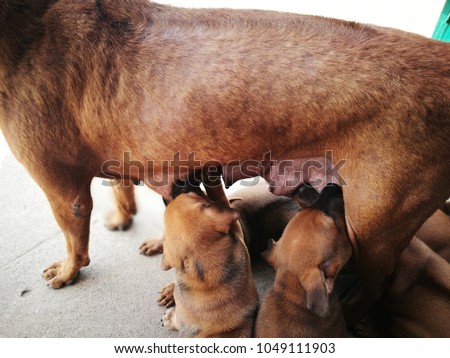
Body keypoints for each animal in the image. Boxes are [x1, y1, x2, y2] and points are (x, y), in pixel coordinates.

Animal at [0, 0, 450, 308]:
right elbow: (122, 192)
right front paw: (126, 218)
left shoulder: (66, 195)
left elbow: (76, 244)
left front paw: (66, 273)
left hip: (374, 234)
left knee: (378, 286)